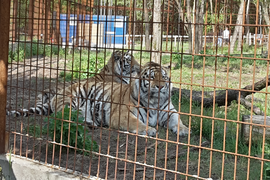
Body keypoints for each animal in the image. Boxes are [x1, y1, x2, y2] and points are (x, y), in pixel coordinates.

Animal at [48, 61, 189, 136]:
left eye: (164, 77)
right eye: (151, 77)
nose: (161, 86)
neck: (154, 102)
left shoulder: (170, 112)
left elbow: (177, 120)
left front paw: (184, 130)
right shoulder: (121, 115)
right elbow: (137, 123)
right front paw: (150, 130)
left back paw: (91, 123)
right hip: (70, 100)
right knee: (66, 116)